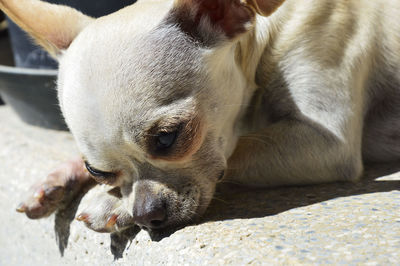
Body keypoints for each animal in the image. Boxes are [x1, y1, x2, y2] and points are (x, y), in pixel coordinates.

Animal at [1, 0, 398, 236]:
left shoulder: (326, 141)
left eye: (168, 138)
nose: (143, 213)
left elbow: (240, 149)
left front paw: (113, 202)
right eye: (97, 170)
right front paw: (58, 178)